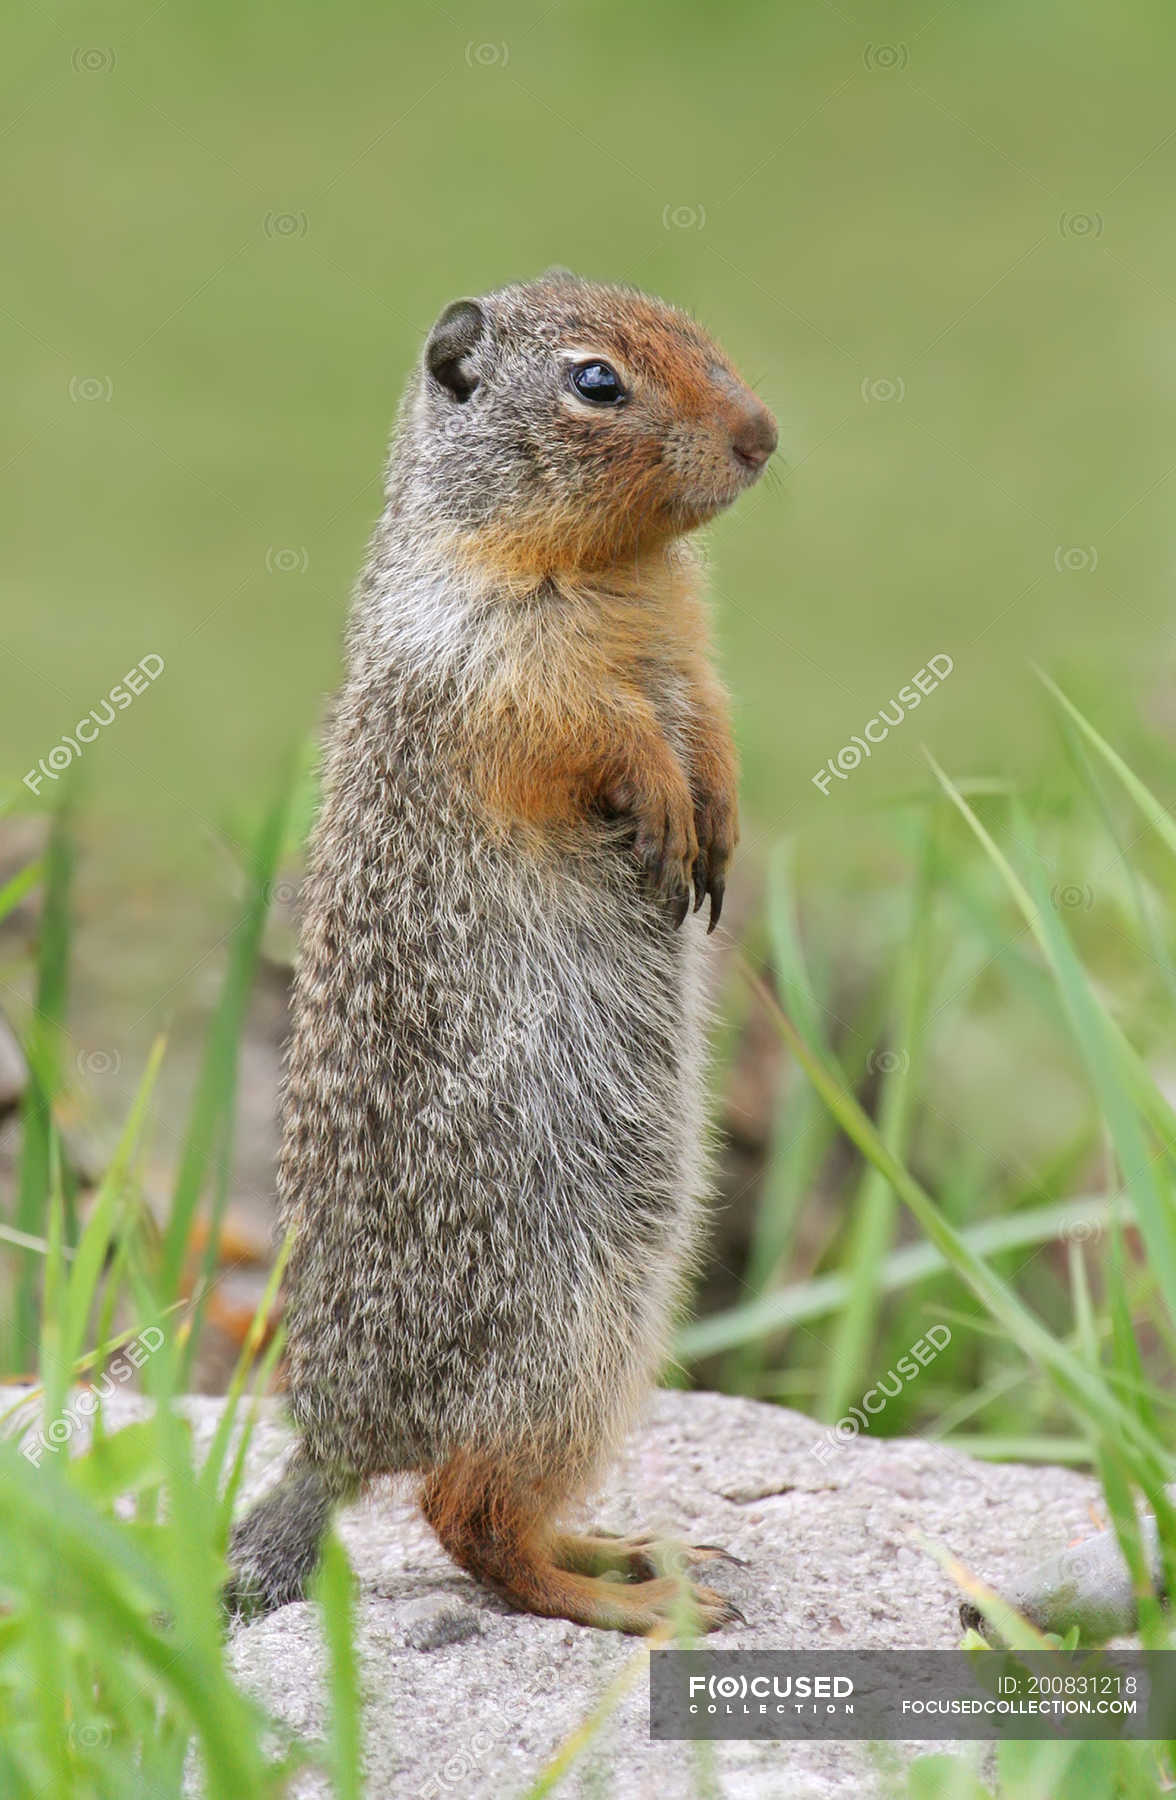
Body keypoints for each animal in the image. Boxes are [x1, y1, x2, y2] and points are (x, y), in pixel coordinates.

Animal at [225, 266, 774, 1634]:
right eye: (596, 381)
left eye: (693, 323)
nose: (762, 437)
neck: (620, 571)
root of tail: (335, 1440)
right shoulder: (497, 663)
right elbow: (593, 733)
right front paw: (665, 807)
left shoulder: (691, 650)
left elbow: (710, 723)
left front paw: (718, 820)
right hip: (569, 1334)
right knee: (464, 1515)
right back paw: (633, 1601)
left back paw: (622, 1552)